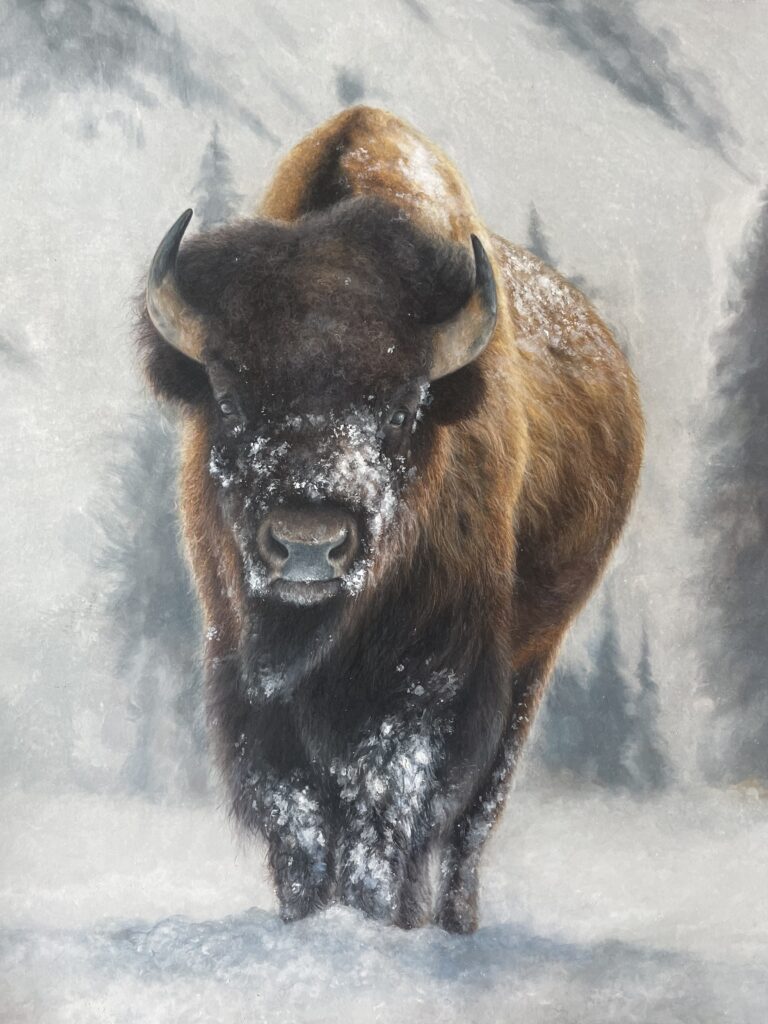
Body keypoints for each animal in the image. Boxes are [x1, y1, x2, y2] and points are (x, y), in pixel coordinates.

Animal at [138, 106, 644, 932]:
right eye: (230, 394)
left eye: (405, 404)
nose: (309, 544)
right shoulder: (248, 684)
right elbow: (297, 818)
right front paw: (308, 920)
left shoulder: (429, 683)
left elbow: (388, 814)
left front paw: (378, 920)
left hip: (533, 659)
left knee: (475, 817)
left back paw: (453, 922)